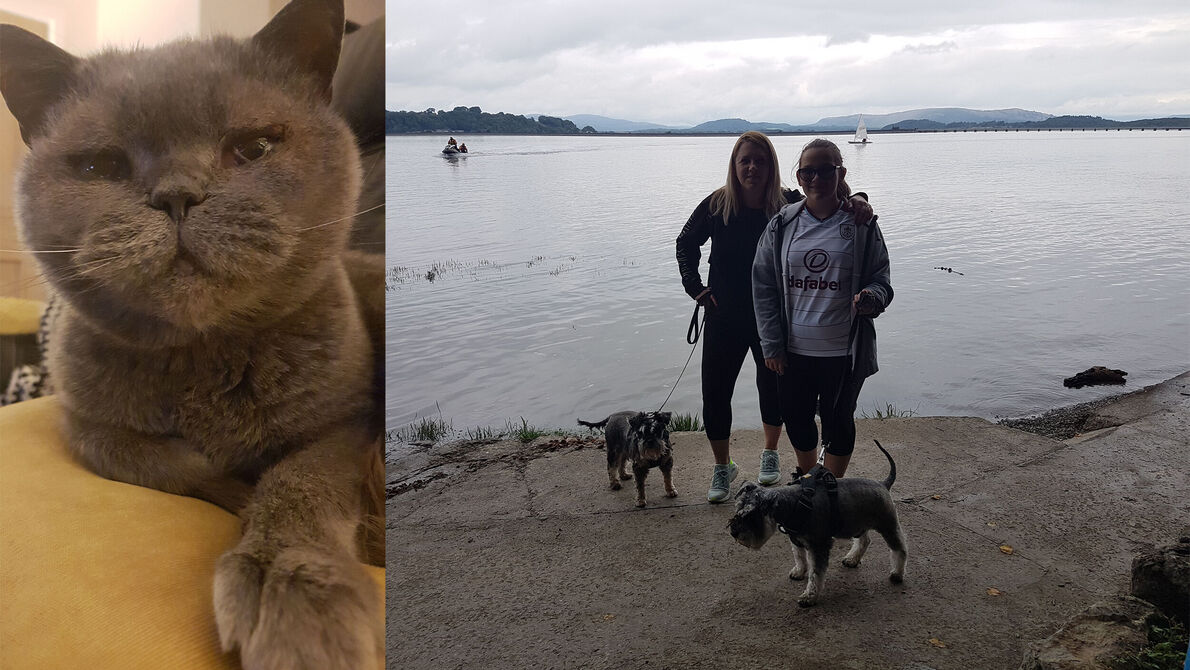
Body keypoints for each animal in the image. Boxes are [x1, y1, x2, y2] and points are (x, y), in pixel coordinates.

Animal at [0, 1, 380, 670]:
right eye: (101, 165)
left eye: (253, 147)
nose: (176, 195)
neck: (207, 359)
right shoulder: (82, 423)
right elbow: (169, 461)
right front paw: (238, 491)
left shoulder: (348, 422)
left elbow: (302, 480)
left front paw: (293, 589)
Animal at [718, 440, 904, 609]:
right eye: (737, 509)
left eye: (751, 515)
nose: (734, 532)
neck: (793, 504)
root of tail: (883, 484)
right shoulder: (796, 540)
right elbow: (800, 558)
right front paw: (799, 572)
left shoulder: (818, 546)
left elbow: (816, 574)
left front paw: (809, 596)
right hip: (857, 524)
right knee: (864, 540)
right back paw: (852, 559)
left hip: (888, 526)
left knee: (900, 549)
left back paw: (897, 574)